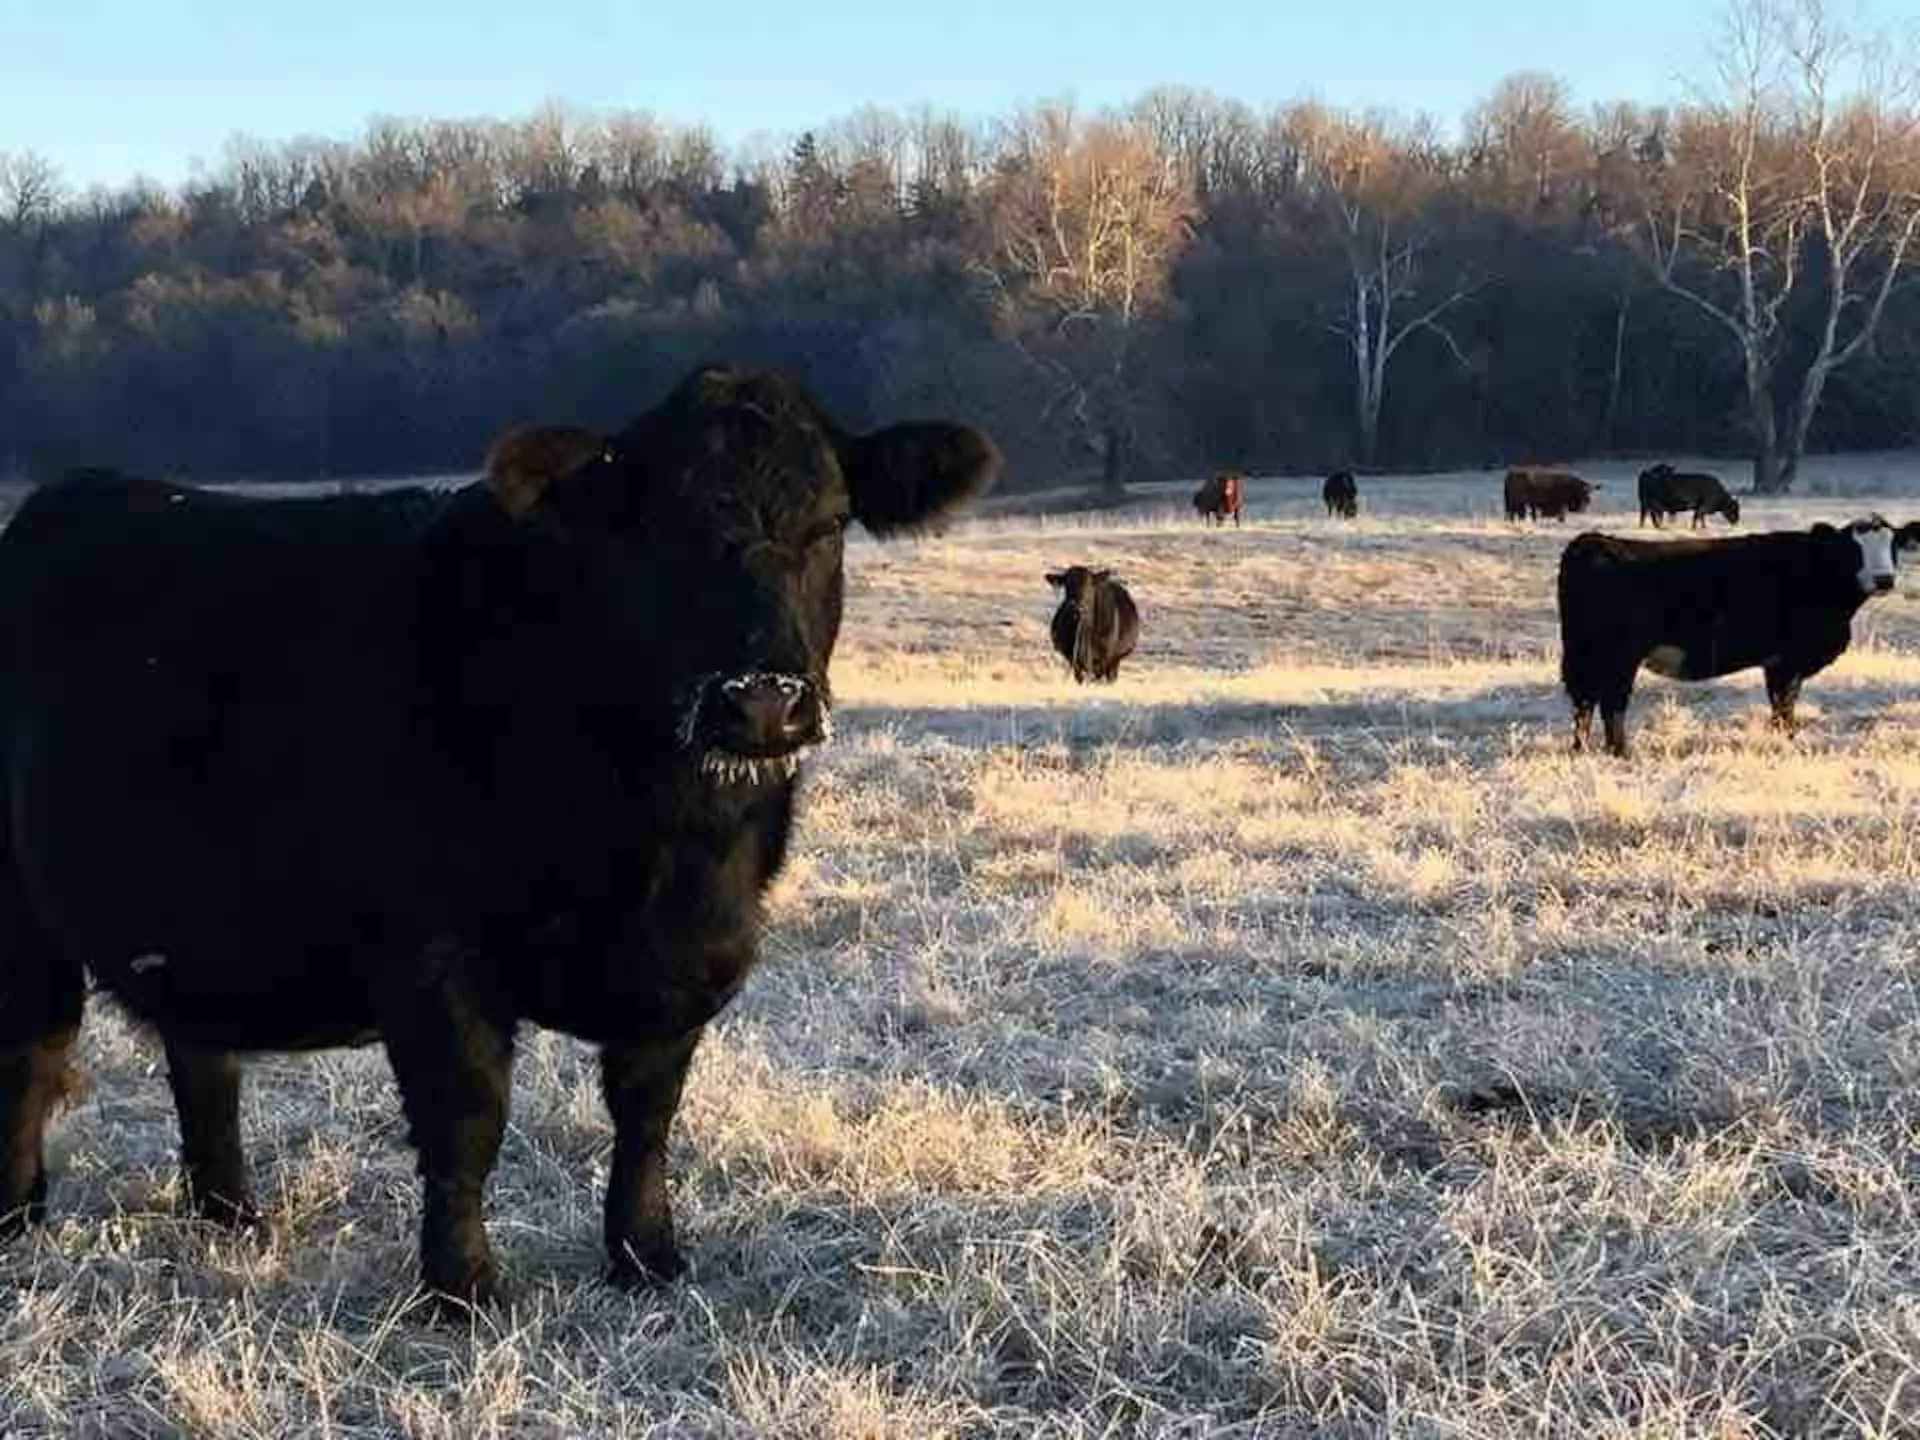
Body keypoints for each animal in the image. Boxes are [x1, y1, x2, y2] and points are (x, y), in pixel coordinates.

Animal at [0, 365, 999, 1309]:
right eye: (661, 531)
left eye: (830, 524)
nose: (762, 700)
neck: (667, 844)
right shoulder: (433, 954)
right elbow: (467, 1117)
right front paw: (463, 1287)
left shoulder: (693, 958)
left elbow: (649, 1112)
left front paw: (647, 1257)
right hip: (27, 919)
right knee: (35, 1053)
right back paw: (19, 1219)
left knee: (200, 1058)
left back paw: (233, 1217)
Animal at [1556, 517, 1919, 757]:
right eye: (1854, 550)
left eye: (1893, 545)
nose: (1884, 579)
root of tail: (1594, 542)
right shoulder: (1787, 660)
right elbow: (1785, 704)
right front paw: (1786, 740)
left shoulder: (1778, 663)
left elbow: (1781, 703)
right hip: (1617, 656)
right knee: (1611, 702)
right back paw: (1620, 751)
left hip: (1586, 655)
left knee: (1584, 702)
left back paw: (1582, 748)